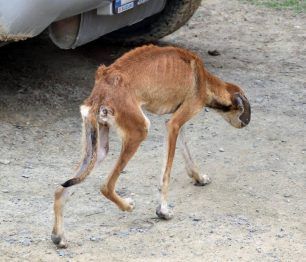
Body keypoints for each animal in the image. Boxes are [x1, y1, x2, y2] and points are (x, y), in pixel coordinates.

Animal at [51, 45, 250, 248]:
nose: (245, 124)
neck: (203, 79)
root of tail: (103, 86)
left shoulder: (176, 124)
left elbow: (187, 153)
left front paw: (199, 177)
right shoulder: (174, 124)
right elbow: (165, 176)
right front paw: (163, 210)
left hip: (97, 150)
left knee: (60, 190)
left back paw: (59, 236)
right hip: (138, 132)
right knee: (106, 186)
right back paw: (126, 205)